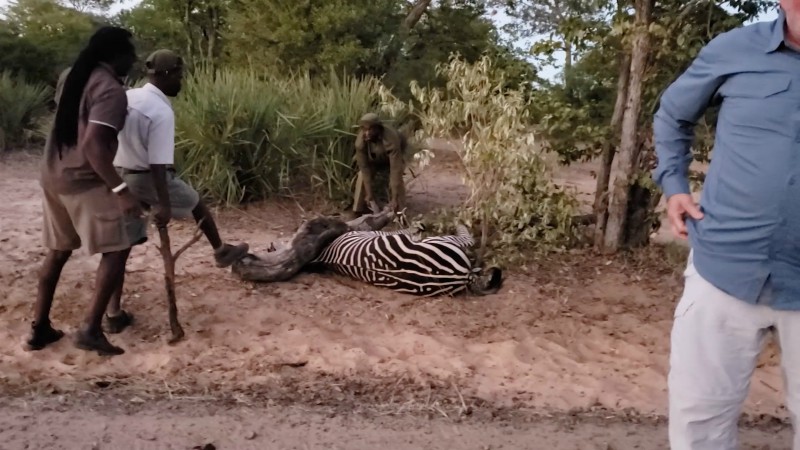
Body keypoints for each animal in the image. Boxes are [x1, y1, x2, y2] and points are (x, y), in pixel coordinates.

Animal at [310, 223, 504, 298]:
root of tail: (462, 276)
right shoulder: (381, 233)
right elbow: (404, 230)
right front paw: (414, 227)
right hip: (442, 241)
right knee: (466, 239)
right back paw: (460, 225)